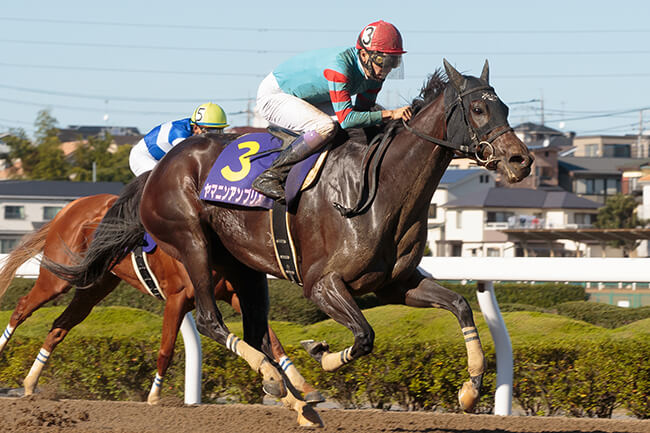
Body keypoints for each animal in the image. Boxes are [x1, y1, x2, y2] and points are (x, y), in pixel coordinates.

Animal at [0, 192, 323, 409]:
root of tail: (68, 208)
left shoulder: (232, 294)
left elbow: (274, 340)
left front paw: (304, 386)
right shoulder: (177, 298)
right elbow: (166, 349)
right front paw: (154, 396)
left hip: (95, 286)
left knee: (59, 326)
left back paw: (30, 383)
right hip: (59, 276)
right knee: (21, 308)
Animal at [43, 60, 533, 425]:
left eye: (507, 107)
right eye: (480, 110)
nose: (520, 160)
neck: (378, 189)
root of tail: (161, 167)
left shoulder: (395, 283)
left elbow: (461, 306)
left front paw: (470, 390)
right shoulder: (322, 284)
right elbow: (365, 335)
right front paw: (323, 353)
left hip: (244, 267)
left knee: (256, 332)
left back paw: (298, 402)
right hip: (191, 243)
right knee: (209, 321)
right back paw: (277, 382)